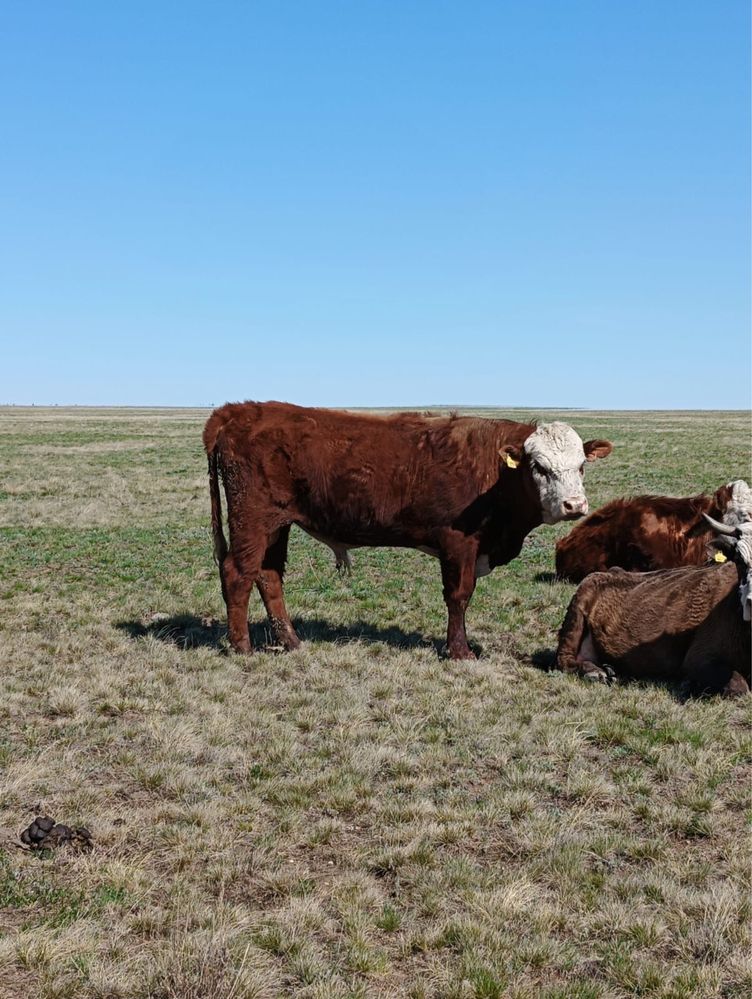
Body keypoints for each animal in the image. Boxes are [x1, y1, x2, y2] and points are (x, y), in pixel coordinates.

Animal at [201, 402, 612, 660]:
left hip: (276, 524)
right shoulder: (458, 542)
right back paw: (242, 647)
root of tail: (238, 410)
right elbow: (459, 596)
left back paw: (291, 641)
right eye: (539, 467)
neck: (495, 474)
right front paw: (460, 651)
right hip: (252, 518)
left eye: (581, 465)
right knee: (238, 573)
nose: (574, 505)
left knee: (268, 575)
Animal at [556, 516, 748, 696]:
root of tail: (611, 571)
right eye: (739, 559)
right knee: (564, 659)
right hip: (578, 608)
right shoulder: (698, 656)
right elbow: (740, 686)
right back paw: (595, 672)